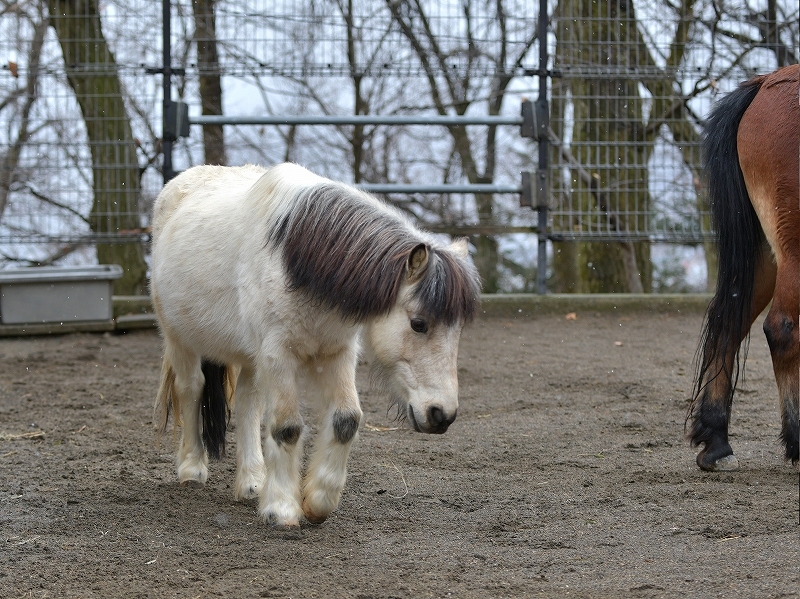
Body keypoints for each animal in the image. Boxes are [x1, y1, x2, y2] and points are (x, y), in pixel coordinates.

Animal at [152, 162, 482, 528]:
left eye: (458, 329)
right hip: (179, 339)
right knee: (191, 389)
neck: (298, 259)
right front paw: (282, 508)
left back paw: (253, 482)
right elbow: (287, 427)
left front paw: (317, 501)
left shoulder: (335, 354)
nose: (442, 415)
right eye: (419, 324)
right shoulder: (278, 356)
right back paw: (192, 469)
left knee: (248, 404)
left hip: (251, 357)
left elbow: (346, 420)